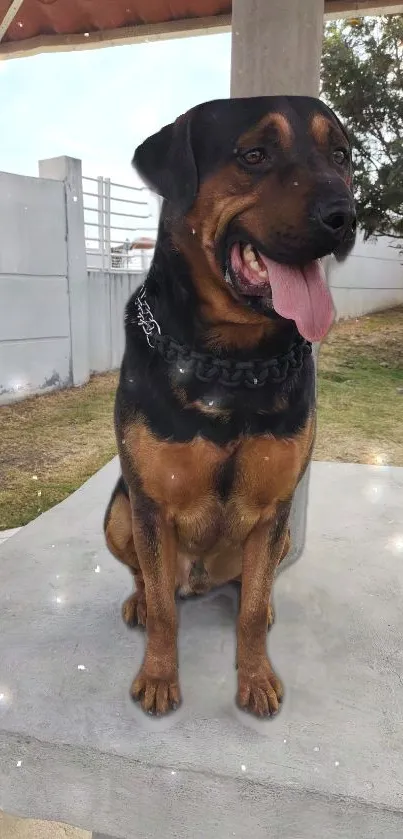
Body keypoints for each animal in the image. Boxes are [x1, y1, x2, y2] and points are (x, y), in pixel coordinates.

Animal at [105, 97, 356, 716]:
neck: (233, 364)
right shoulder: (150, 505)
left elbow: (252, 605)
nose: (346, 217)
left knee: (249, 587)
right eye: (254, 155)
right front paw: (160, 675)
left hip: (279, 535)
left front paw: (256, 676)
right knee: (148, 578)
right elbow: (164, 608)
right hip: (119, 512)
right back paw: (140, 601)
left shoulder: (274, 508)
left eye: (340, 156)